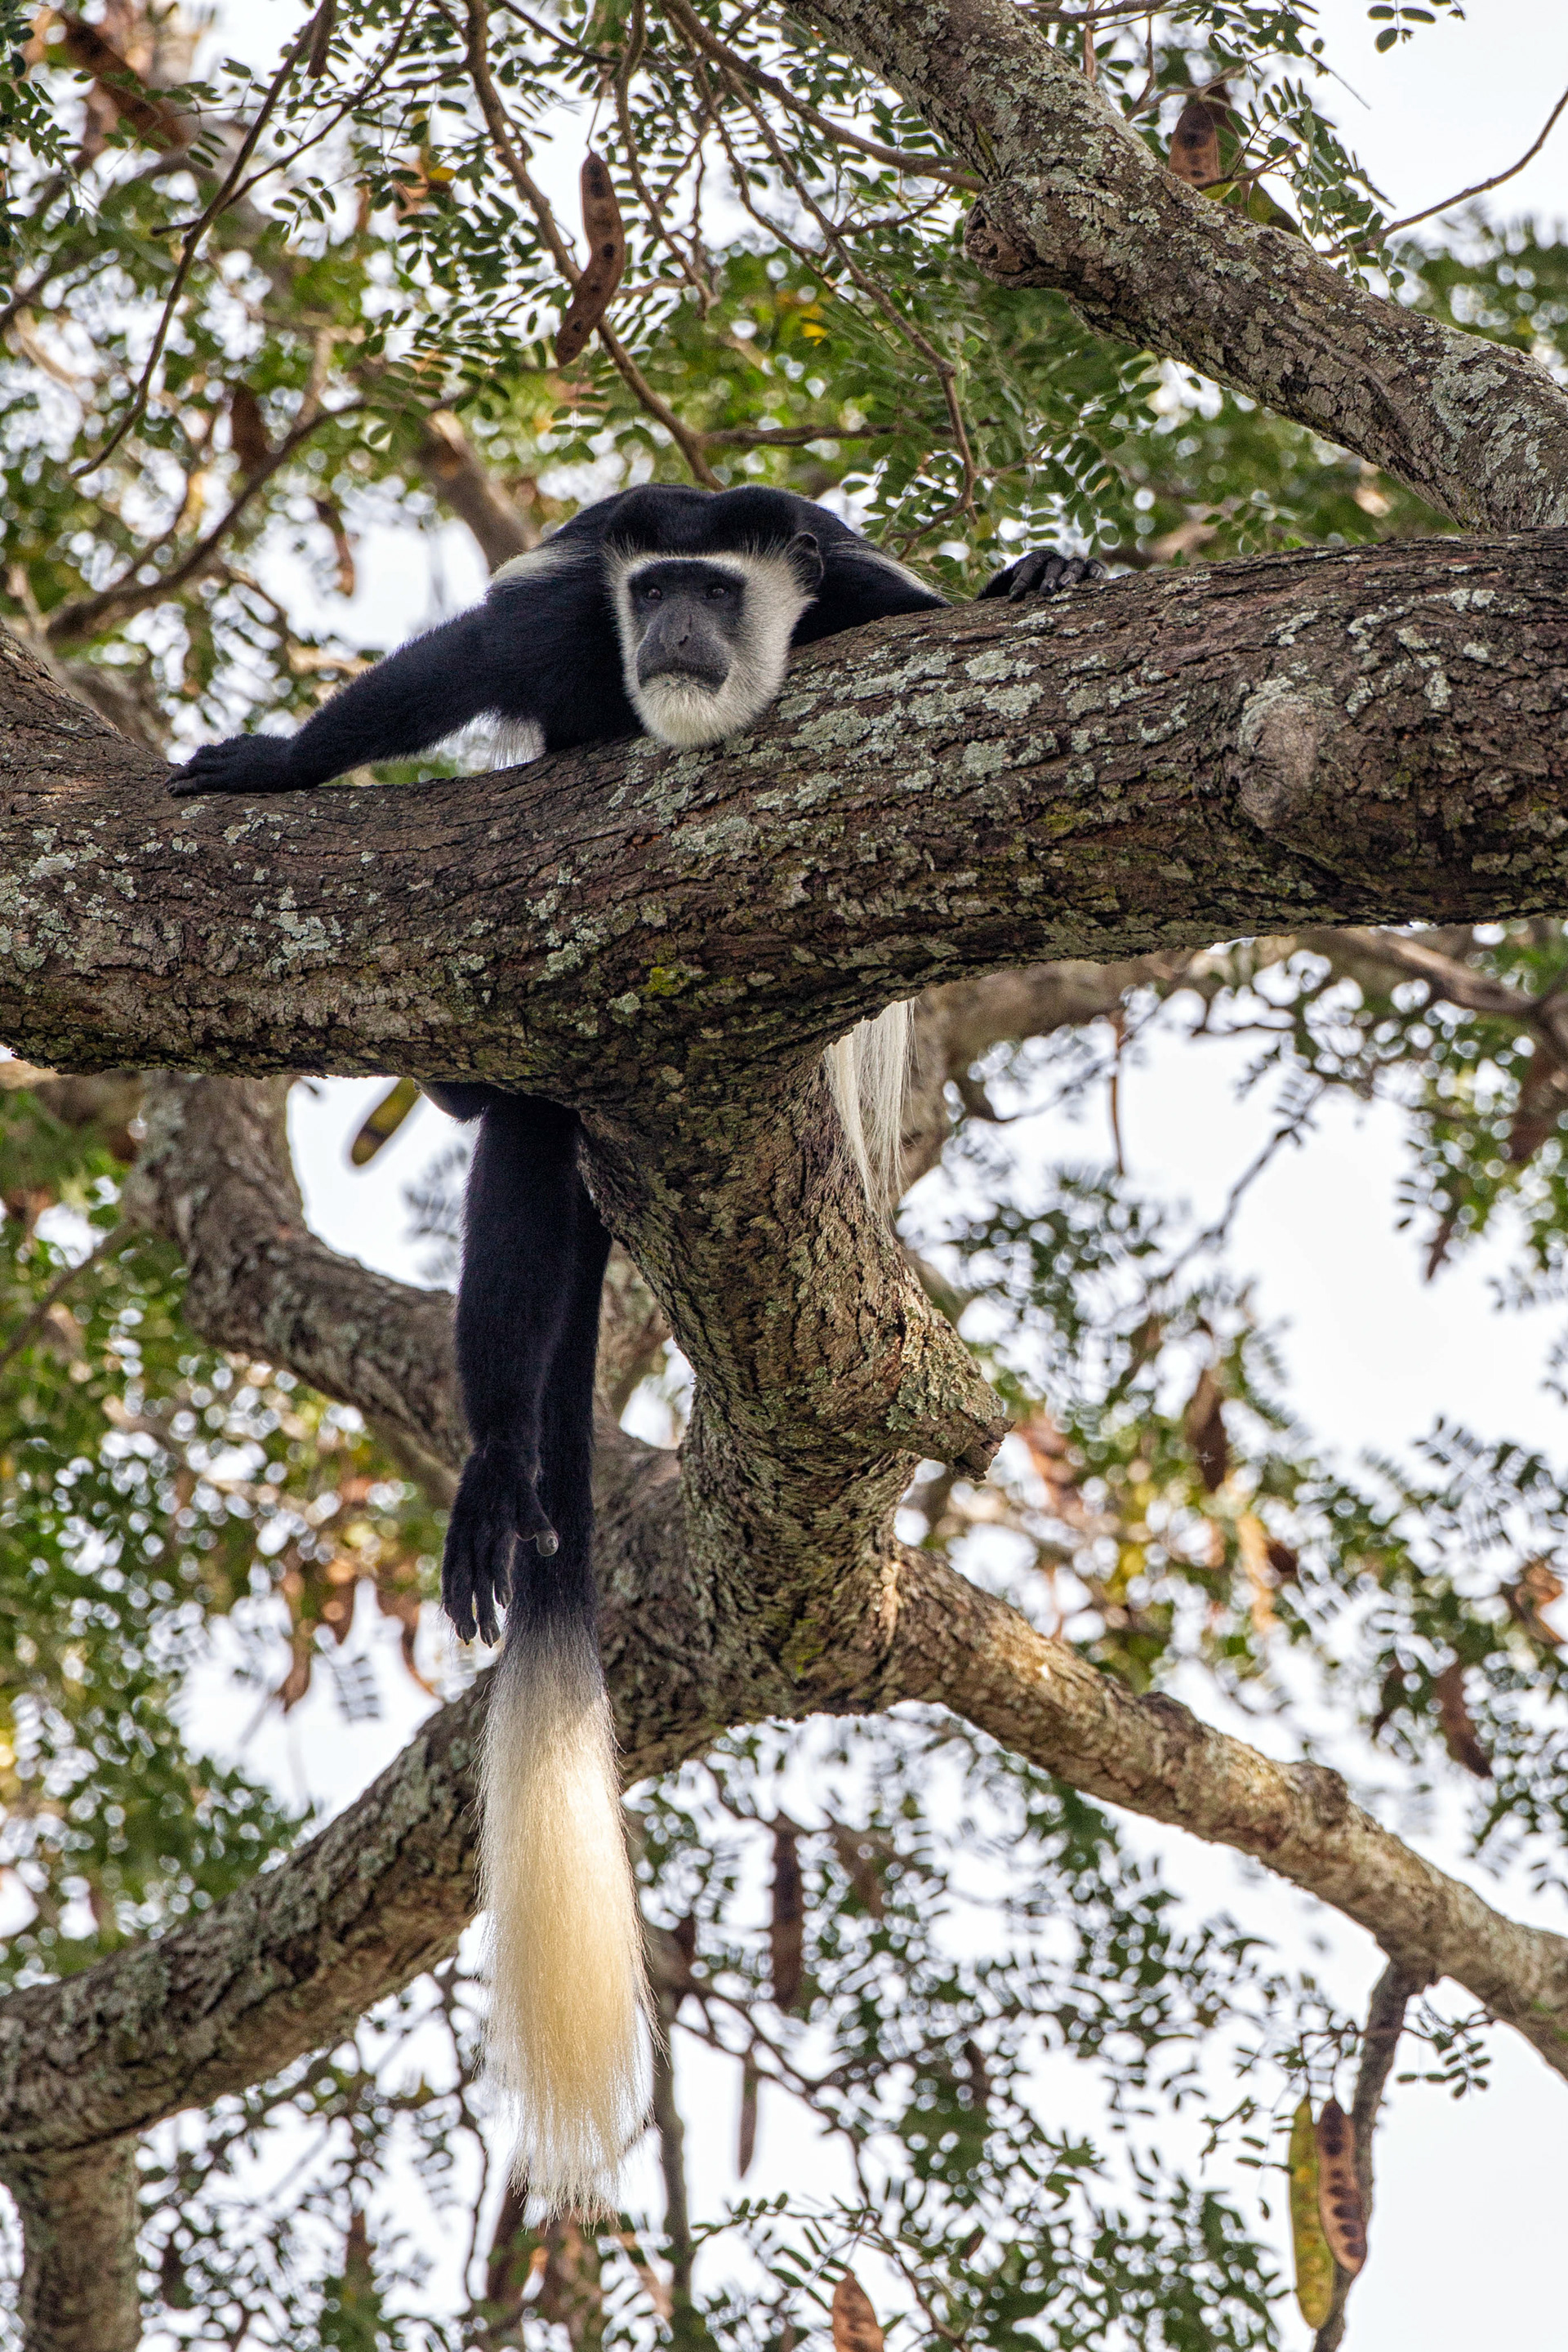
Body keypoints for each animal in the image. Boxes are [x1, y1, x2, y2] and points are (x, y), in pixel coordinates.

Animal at [172, 482, 1100, 2210]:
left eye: (715, 596)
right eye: (654, 588)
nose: (669, 628)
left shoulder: (860, 600)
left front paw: (1039, 574)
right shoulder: (560, 625)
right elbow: (434, 673)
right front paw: (273, 762)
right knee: (522, 1167)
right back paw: (494, 1450)